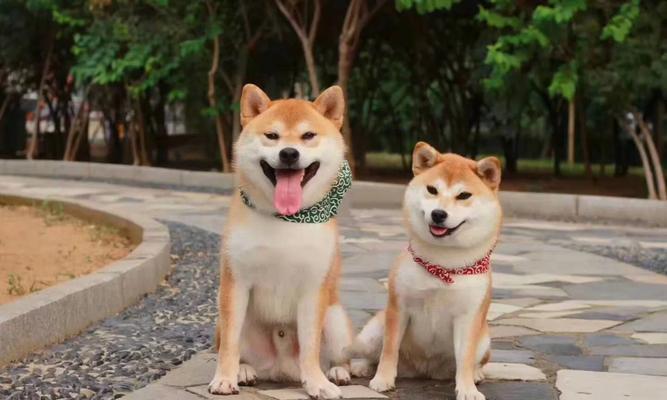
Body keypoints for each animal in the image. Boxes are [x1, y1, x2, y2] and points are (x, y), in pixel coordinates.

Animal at [209, 83, 358, 398]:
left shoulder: (314, 289)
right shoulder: (236, 282)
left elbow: (311, 347)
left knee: (337, 355)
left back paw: (337, 372)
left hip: (336, 319)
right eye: (272, 136)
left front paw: (316, 383)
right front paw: (225, 378)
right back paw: (243, 370)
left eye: (308, 135)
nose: (289, 153)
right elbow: (229, 344)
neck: (286, 219)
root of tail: (280, 370)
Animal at [350, 141, 500, 400]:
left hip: (484, 340)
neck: (443, 265)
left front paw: (467, 389)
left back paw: (477, 374)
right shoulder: (399, 308)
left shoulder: (468, 317)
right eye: (432, 189)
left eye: (464, 195)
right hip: (374, 331)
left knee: (475, 361)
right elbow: (389, 350)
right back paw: (356, 368)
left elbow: (465, 359)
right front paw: (383, 379)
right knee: (369, 354)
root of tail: (423, 370)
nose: (438, 214)